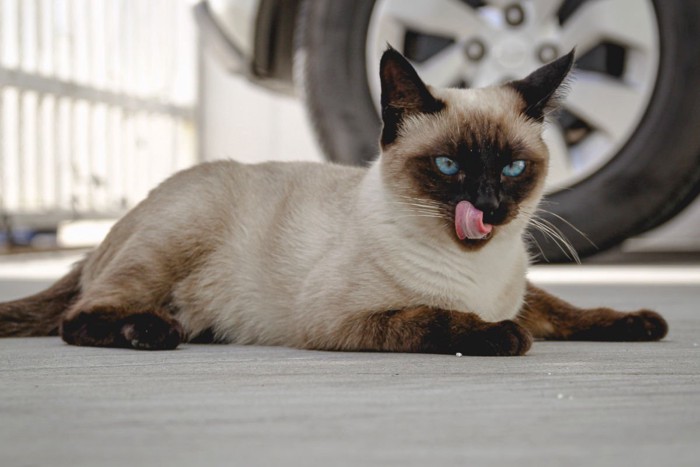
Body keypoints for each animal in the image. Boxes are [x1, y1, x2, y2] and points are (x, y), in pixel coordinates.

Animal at [0, 48, 668, 354]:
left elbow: (564, 308)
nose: (489, 207)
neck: (476, 273)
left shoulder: (522, 293)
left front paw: (639, 322)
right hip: (175, 238)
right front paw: (503, 336)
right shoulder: (345, 319)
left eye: (512, 168)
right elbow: (436, 318)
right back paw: (154, 330)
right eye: (448, 167)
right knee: (79, 315)